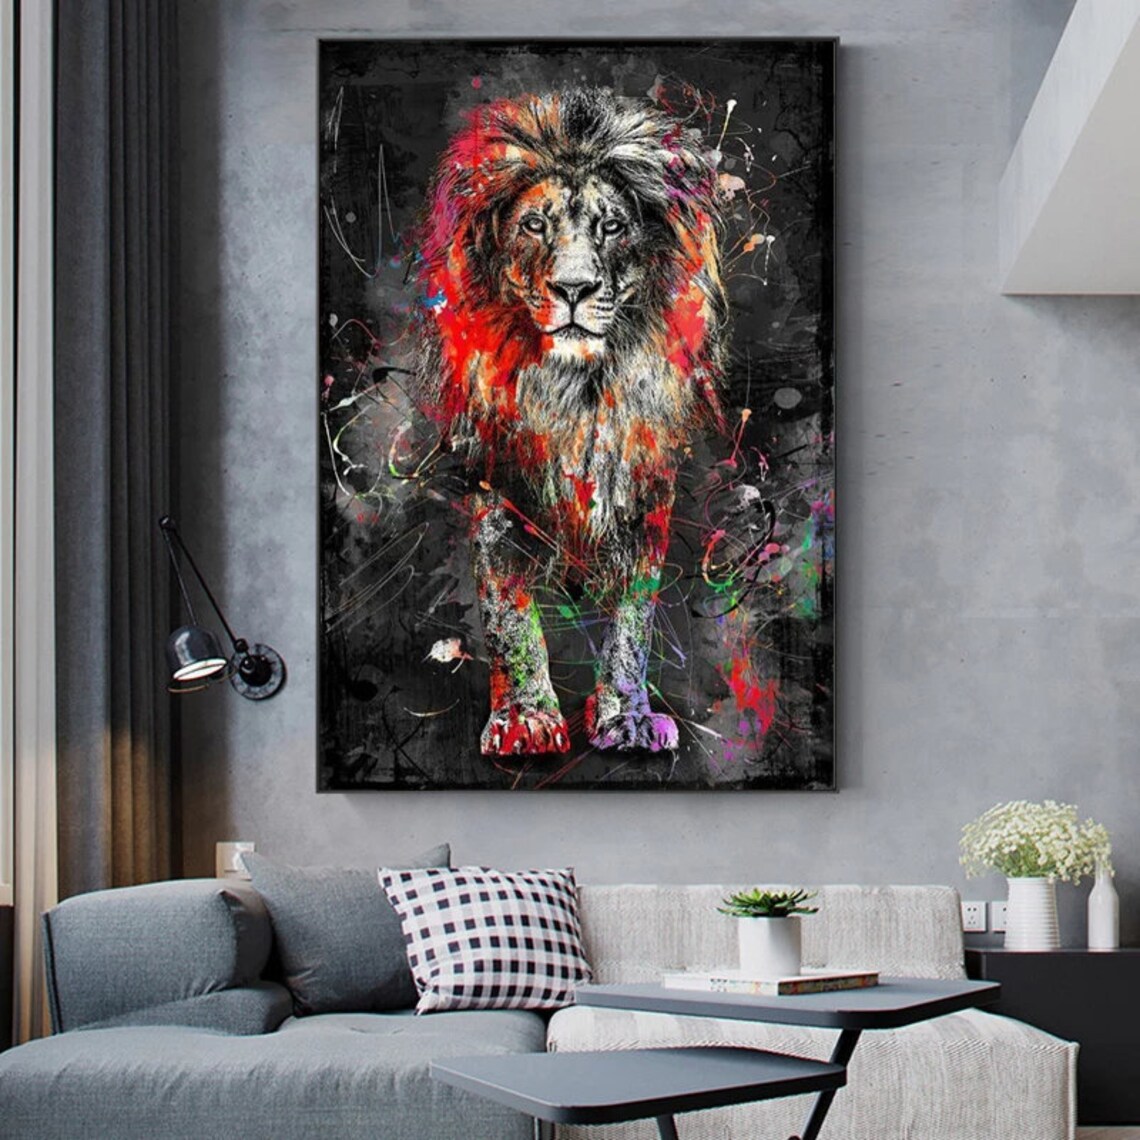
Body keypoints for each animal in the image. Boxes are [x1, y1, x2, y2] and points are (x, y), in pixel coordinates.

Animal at [413, 87, 729, 756]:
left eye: (612, 226)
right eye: (535, 225)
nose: (574, 288)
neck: (577, 394)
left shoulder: (642, 485)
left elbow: (634, 618)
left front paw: (626, 715)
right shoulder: (497, 481)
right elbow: (508, 611)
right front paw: (526, 720)